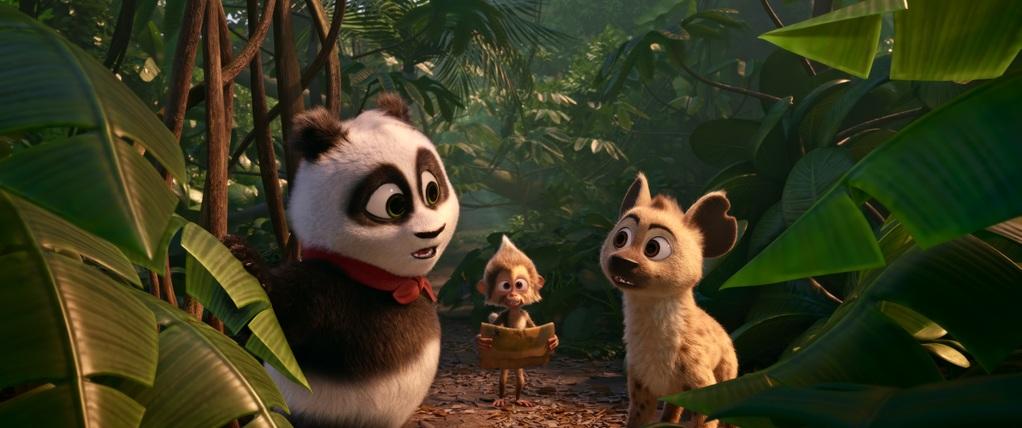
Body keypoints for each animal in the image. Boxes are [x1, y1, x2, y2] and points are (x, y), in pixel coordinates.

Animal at [228, 93, 458, 427]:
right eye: (394, 204)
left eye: (432, 190)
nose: (431, 233)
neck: (382, 280)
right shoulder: (321, 292)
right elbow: (269, 331)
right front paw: (244, 259)